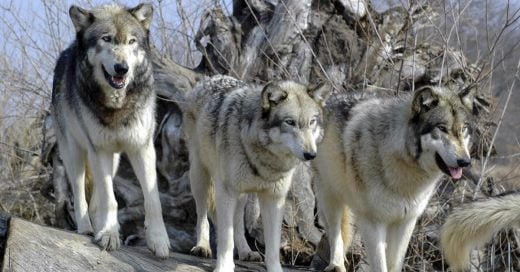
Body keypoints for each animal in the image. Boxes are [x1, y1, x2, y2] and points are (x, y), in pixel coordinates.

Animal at [50, 3, 170, 258]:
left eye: (132, 41)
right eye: (106, 39)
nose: (122, 68)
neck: (118, 106)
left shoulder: (142, 148)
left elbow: (152, 199)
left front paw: (158, 241)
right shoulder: (99, 149)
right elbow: (110, 199)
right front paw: (109, 235)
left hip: (113, 160)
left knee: (97, 199)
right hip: (75, 153)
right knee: (80, 193)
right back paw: (86, 227)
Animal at [183, 75, 330, 272]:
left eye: (312, 122)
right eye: (290, 122)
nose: (311, 155)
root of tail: (209, 78)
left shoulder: (274, 198)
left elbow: (273, 246)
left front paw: (275, 269)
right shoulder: (226, 192)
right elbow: (225, 238)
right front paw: (224, 267)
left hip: (241, 194)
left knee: (238, 222)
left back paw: (246, 251)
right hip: (200, 178)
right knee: (203, 216)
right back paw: (202, 246)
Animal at [312, 85, 476, 272]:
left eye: (463, 129)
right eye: (442, 128)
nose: (465, 162)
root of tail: (329, 100)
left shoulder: (406, 222)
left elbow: (395, 263)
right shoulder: (373, 222)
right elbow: (380, 265)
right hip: (330, 197)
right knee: (335, 232)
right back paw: (336, 265)